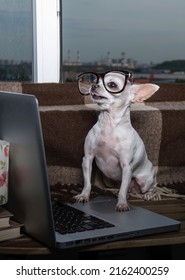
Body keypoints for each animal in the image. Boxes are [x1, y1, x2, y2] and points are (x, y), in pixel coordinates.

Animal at [74, 69, 158, 210]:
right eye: (95, 80)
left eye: (112, 85)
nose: (93, 85)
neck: (109, 125)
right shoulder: (88, 159)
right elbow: (87, 183)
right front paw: (84, 195)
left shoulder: (126, 166)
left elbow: (123, 189)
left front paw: (122, 203)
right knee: (123, 187)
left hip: (144, 180)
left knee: (148, 187)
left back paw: (148, 195)